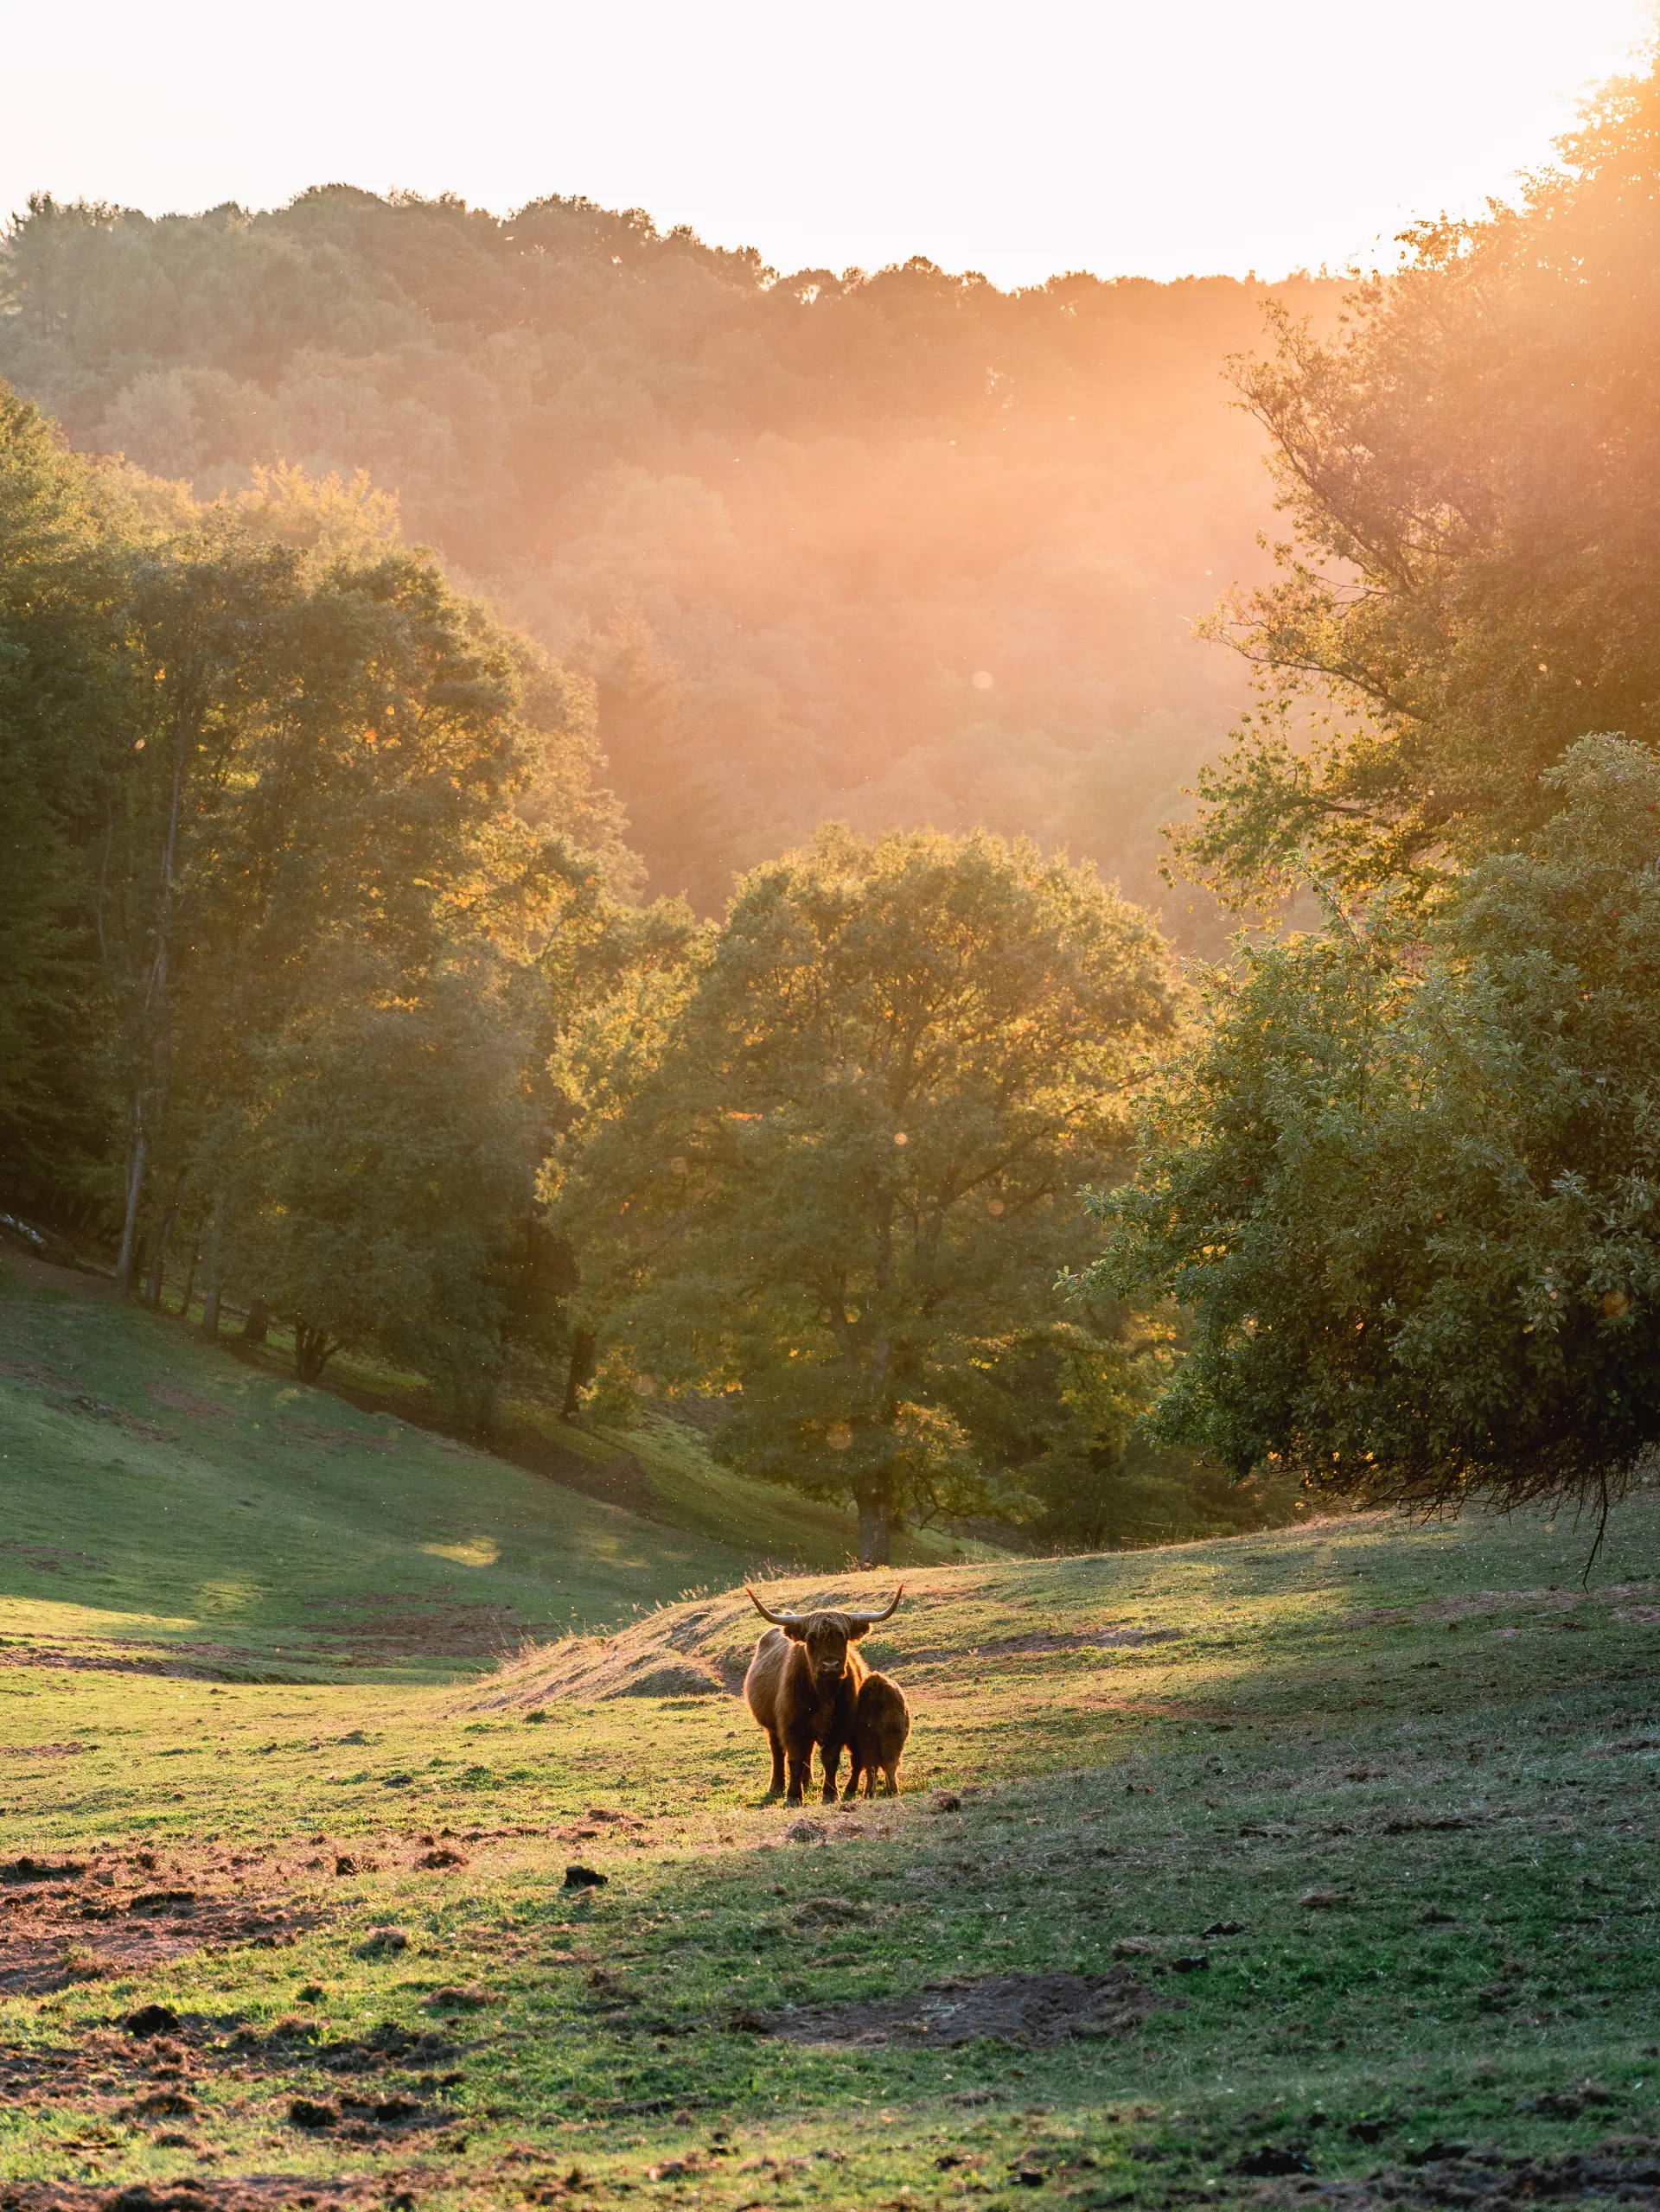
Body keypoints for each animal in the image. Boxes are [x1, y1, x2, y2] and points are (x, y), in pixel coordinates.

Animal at [850, 1672, 916, 1795]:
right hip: (891, 1737)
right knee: (890, 1763)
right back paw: (893, 1791)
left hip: (868, 1739)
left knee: (871, 1766)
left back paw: (869, 1793)